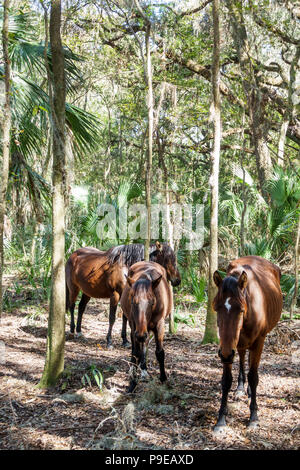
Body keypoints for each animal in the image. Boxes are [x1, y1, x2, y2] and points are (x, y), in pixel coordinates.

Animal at [119, 260, 172, 392]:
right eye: (133, 301)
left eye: (152, 302)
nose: (141, 335)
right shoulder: (135, 326)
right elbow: (136, 351)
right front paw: (132, 382)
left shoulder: (159, 325)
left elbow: (159, 352)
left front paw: (163, 378)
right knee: (136, 347)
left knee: (145, 344)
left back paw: (144, 370)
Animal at [212, 255, 282, 432]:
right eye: (217, 308)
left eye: (241, 310)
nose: (225, 354)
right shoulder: (227, 348)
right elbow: (226, 380)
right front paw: (221, 419)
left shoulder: (258, 342)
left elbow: (254, 376)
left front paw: (253, 417)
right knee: (243, 356)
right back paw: (240, 387)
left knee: (250, 362)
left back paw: (249, 390)